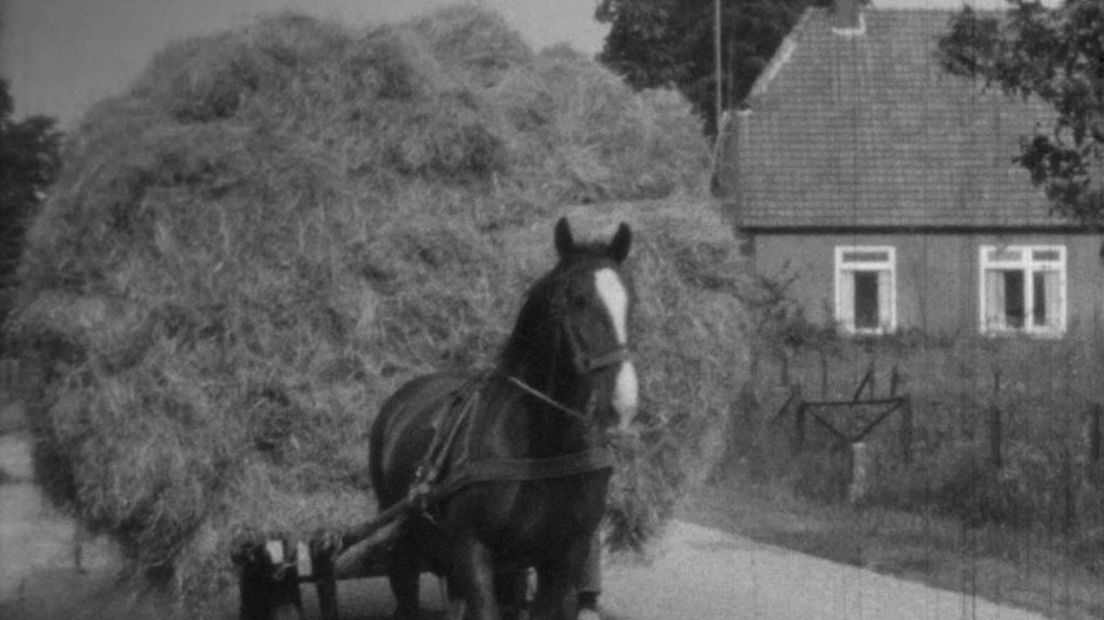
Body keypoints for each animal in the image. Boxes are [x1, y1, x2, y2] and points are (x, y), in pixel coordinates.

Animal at [368, 215, 640, 613]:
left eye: (631, 302)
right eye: (576, 299)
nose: (623, 401)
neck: (543, 450)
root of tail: (400, 400)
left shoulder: (564, 558)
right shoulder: (473, 552)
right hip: (405, 545)